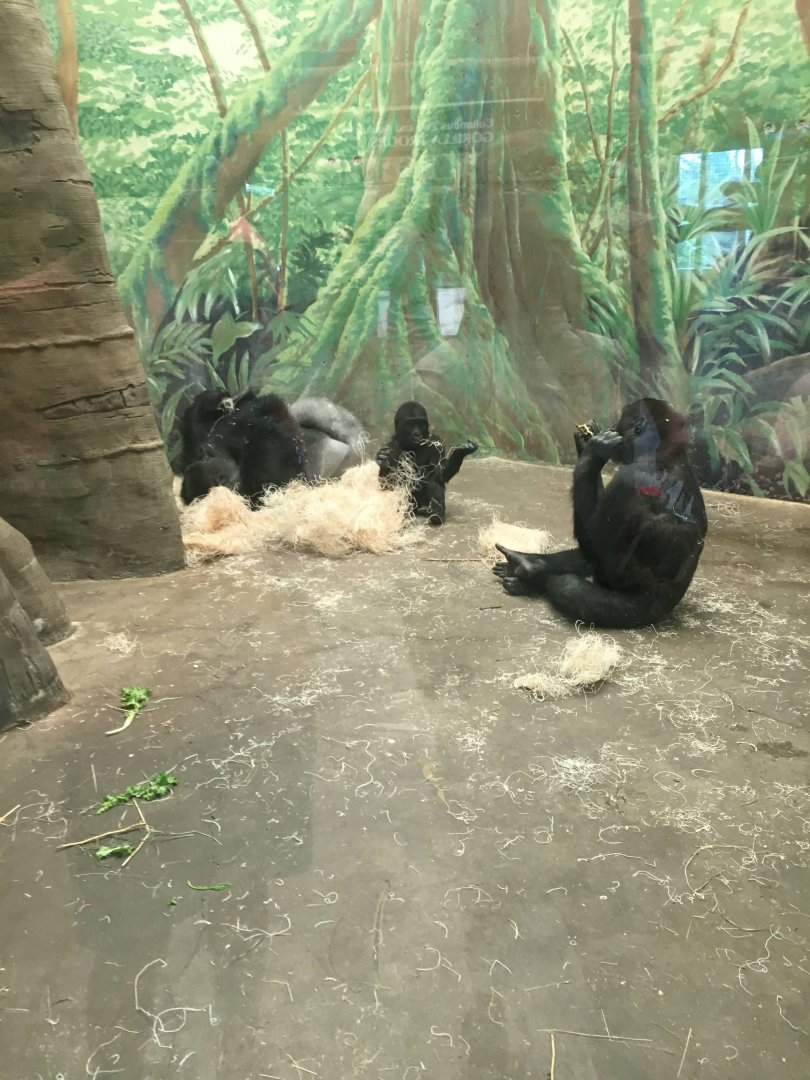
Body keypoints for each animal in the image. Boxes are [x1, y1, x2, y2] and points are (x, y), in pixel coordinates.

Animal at [493, 399, 707, 628]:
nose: (611, 426)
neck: (663, 453)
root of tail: (667, 608)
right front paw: (586, 443)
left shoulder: (628, 479)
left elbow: (594, 542)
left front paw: (592, 452)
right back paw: (525, 566)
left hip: (630, 612)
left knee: (567, 585)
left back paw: (533, 574)